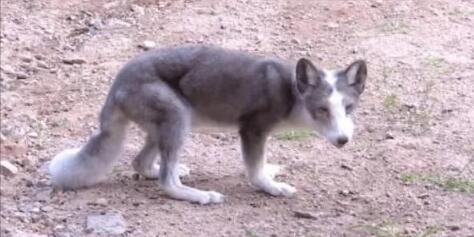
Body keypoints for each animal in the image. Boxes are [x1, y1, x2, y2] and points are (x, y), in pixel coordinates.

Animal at [49, 45, 366, 205]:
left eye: (348, 109)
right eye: (321, 110)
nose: (343, 140)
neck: (291, 92)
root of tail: (117, 84)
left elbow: (261, 165)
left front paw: (271, 171)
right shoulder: (252, 130)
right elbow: (254, 171)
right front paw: (271, 187)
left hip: (166, 123)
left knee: (141, 163)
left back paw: (165, 171)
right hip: (177, 116)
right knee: (166, 181)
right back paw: (200, 196)